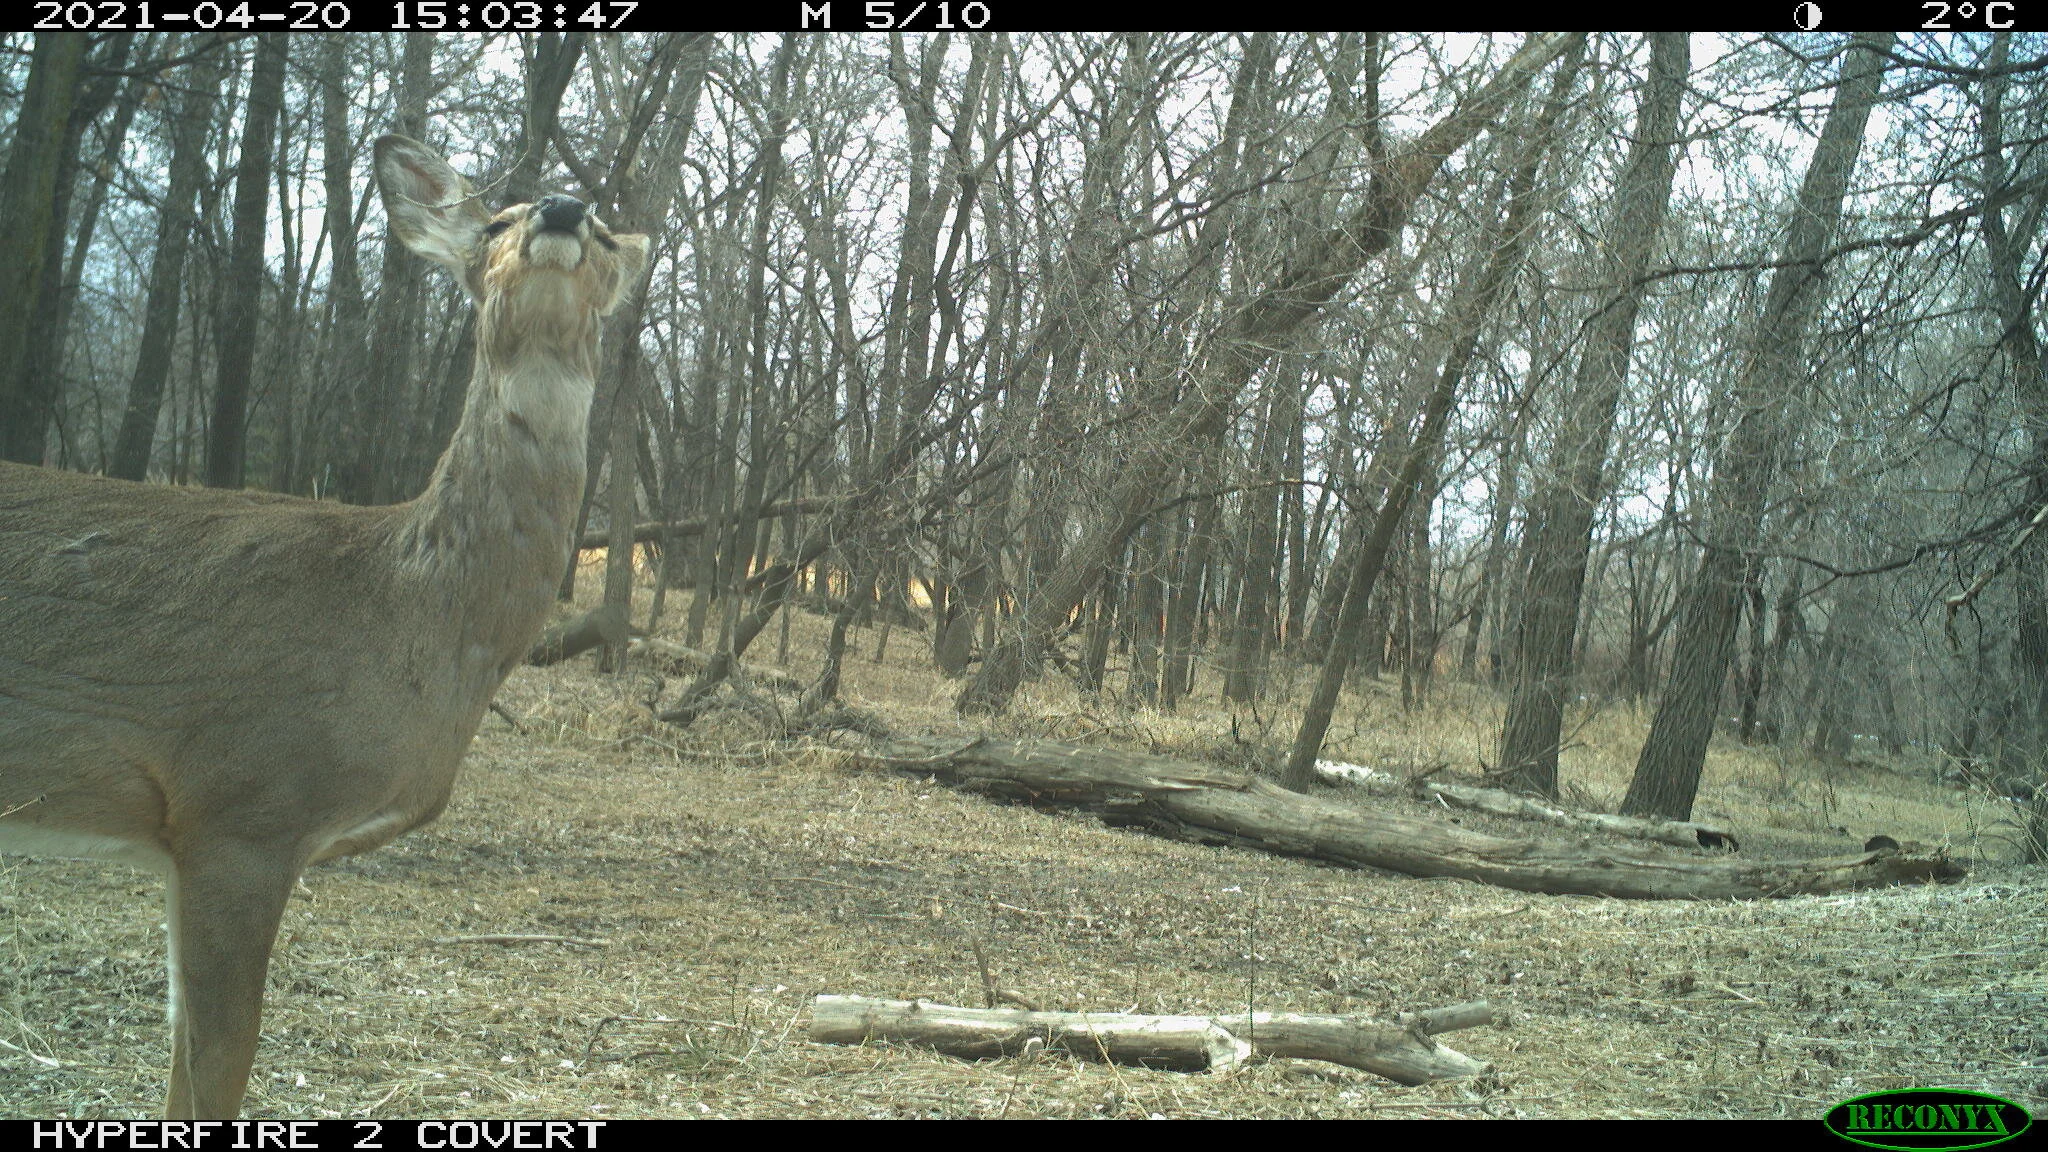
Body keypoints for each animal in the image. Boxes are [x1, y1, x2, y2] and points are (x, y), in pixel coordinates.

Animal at [0, 134, 648, 1119]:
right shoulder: (242, 804)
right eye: (494, 219)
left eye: (610, 233)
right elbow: (216, 1065)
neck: (401, 613)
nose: (563, 210)